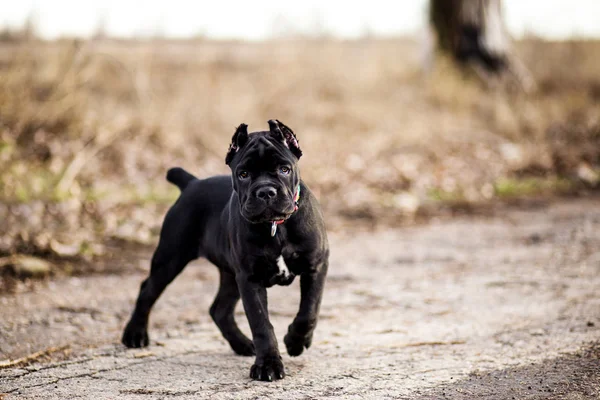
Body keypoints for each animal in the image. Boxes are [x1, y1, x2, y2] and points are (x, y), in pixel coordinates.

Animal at [121, 119, 328, 382]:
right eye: (243, 174)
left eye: (284, 169)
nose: (266, 192)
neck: (276, 226)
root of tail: (192, 182)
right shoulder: (250, 278)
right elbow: (261, 323)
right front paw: (268, 365)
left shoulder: (315, 265)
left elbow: (309, 310)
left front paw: (295, 342)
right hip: (172, 256)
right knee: (148, 290)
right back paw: (135, 334)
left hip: (228, 273)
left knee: (219, 309)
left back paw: (242, 344)